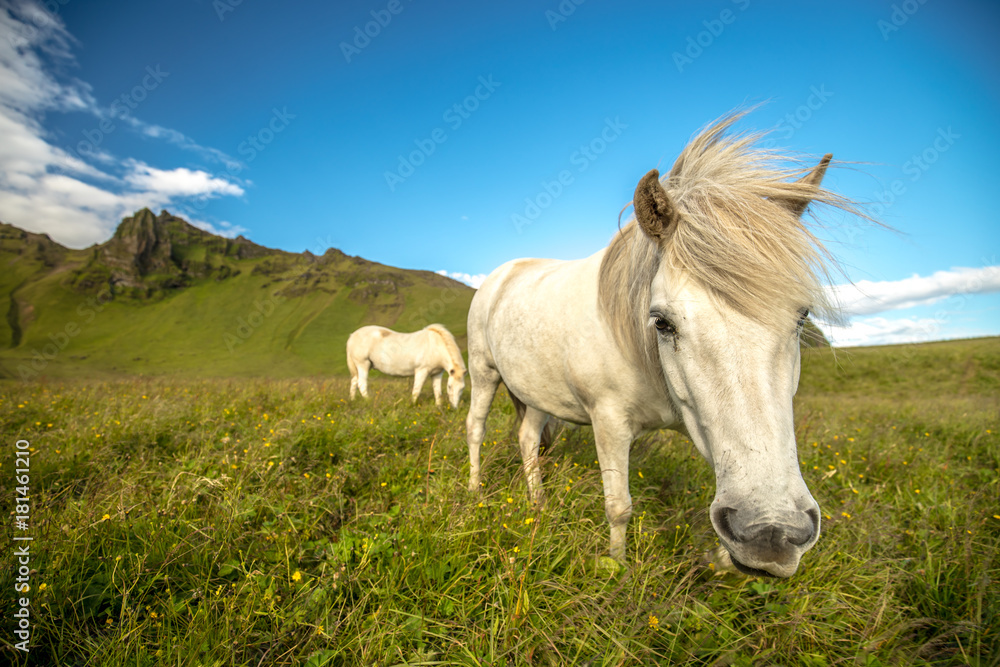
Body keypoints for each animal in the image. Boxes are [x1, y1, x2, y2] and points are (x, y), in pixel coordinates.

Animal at [462, 112, 860, 576]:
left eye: (802, 316)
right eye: (663, 322)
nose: (771, 534)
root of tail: (502, 273)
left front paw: (718, 560)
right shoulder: (609, 422)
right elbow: (619, 507)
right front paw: (617, 568)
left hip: (537, 392)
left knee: (527, 438)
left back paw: (538, 504)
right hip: (484, 373)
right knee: (475, 427)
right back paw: (474, 491)